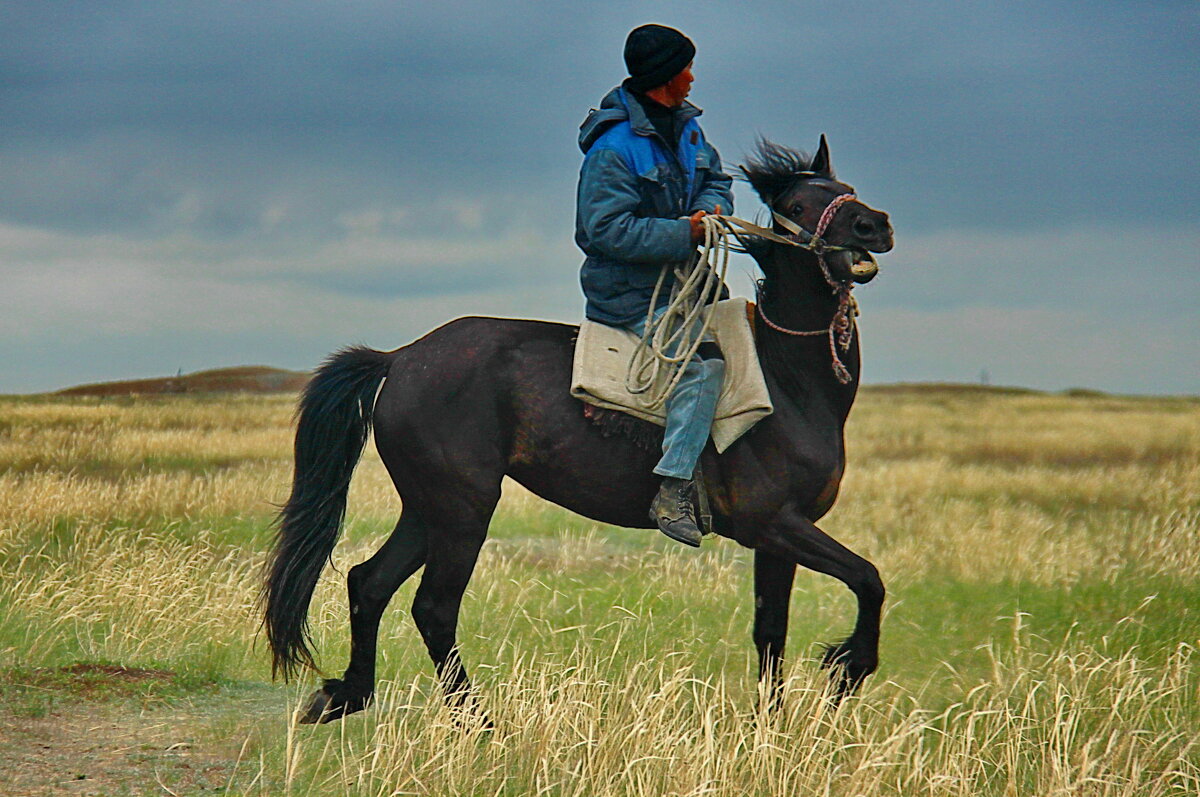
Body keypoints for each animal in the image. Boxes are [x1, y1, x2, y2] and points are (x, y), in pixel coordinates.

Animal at [267, 136, 897, 720]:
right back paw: (479, 723)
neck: (786, 379)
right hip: (462, 509)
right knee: (433, 607)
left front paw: (772, 729)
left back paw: (347, 696)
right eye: (797, 201)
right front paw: (848, 668)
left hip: (428, 508)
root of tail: (399, 359)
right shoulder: (772, 523)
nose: (875, 224)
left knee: (368, 583)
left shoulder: (781, 536)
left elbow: (771, 630)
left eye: (844, 187)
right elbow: (868, 578)